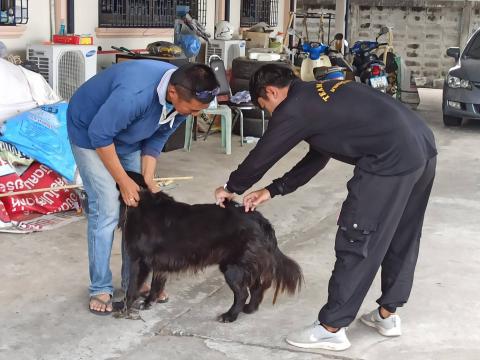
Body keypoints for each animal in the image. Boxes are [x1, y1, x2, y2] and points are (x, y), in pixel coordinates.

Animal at [118, 172, 302, 324]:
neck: (143, 203)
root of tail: (259, 219)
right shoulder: (159, 262)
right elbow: (156, 284)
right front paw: (149, 301)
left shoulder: (139, 260)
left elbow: (132, 286)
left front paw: (123, 307)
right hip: (247, 263)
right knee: (256, 287)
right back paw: (249, 309)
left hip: (232, 266)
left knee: (243, 293)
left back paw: (230, 316)